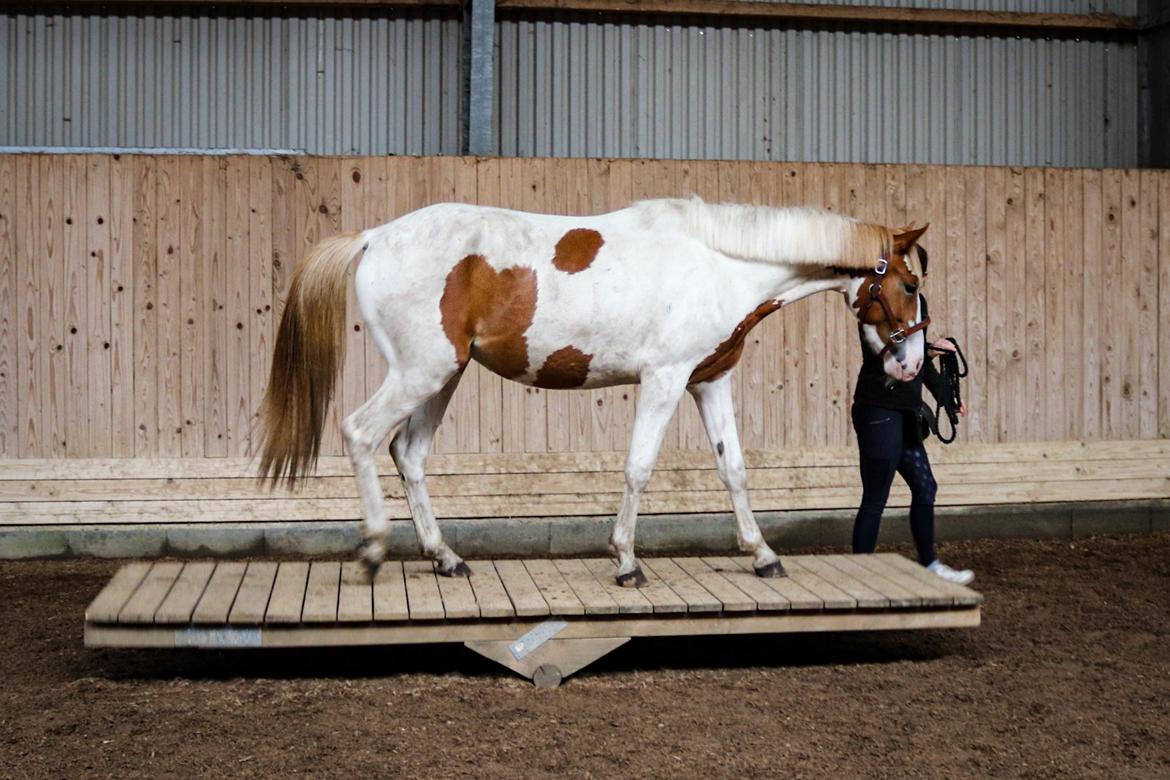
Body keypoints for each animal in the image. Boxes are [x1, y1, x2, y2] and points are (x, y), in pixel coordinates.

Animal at [258, 198, 931, 589]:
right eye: (908, 283)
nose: (911, 366)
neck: (719, 261)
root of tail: (374, 236)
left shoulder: (709, 380)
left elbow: (733, 469)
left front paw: (762, 554)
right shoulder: (664, 379)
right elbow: (638, 468)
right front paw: (626, 561)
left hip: (441, 375)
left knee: (409, 454)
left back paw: (445, 557)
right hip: (421, 371)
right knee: (362, 434)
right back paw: (373, 551)